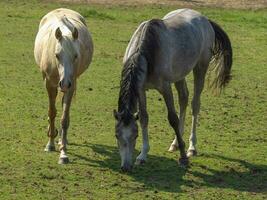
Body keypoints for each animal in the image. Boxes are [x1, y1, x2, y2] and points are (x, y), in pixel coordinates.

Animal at [34, 8, 94, 164]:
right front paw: (50, 144)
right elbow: (52, 112)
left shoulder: (71, 86)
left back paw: (62, 139)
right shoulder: (49, 84)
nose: (65, 83)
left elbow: (64, 118)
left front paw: (63, 153)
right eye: (57, 55)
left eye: (75, 56)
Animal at [114, 9, 233, 172]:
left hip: (200, 68)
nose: (125, 167)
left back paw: (191, 147)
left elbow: (173, 119)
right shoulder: (141, 89)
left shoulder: (165, 88)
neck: (147, 51)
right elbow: (144, 117)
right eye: (117, 135)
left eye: (135, 136)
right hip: (179, 75)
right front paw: (143, 155)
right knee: (183, 98)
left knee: (195, 105)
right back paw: (176, 142)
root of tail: (204, 18)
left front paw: (183, 158)